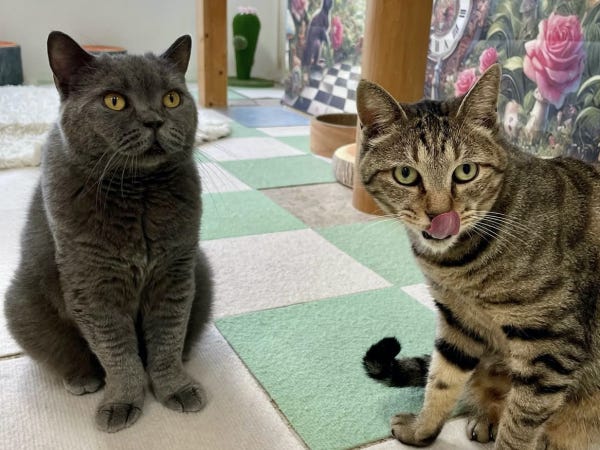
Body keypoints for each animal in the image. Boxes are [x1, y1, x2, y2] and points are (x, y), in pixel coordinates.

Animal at [4, 31, 213, 433]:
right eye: (114, 101)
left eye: (172, 98)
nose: (154, 120)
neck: (138, 194)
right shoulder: (92, 284)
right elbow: (116, 352)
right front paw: (122, 402)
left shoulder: (175, 271)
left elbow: (167, 338)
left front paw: (175, 387)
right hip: (21, 301)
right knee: (67, 353)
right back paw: (82, 378)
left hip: (203, 270)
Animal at [357, 64, 600, 450]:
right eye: (406, 174)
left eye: (465, 171)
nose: (440, 215)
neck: (458, 266)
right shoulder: (459, 321)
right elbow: (441, 381)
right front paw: (423, 430)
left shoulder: (551, 347)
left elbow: (520, 425)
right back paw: (487, 417)